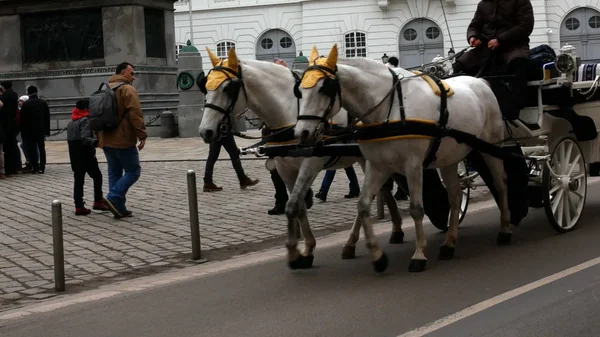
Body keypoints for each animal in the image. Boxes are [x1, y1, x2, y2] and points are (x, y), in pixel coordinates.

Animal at [197, 46, 408, 268]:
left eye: (227, 89)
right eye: (206, 88)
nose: (206, 131)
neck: (289, 111)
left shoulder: (310, 163)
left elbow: (295, 203)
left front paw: (298, 251)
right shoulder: (285, 168)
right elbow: (297, 206)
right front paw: (306, 250)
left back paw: (356, 240)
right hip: (366, 158)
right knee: (381, 190)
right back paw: (392, 230)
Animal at [296, 44, 510, 272]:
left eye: (324, 89)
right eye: (299, 91)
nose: (302, 133)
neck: (388, 109)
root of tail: (480, 81)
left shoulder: (413, 165)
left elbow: (416, 209)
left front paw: (419, 254)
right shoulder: (377, 166)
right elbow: (363, 205)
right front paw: (377, 256)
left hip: (492, 147)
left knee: (500, 184)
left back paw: (505, 229)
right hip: (450, 158)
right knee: (455, 196)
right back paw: (449, 244)